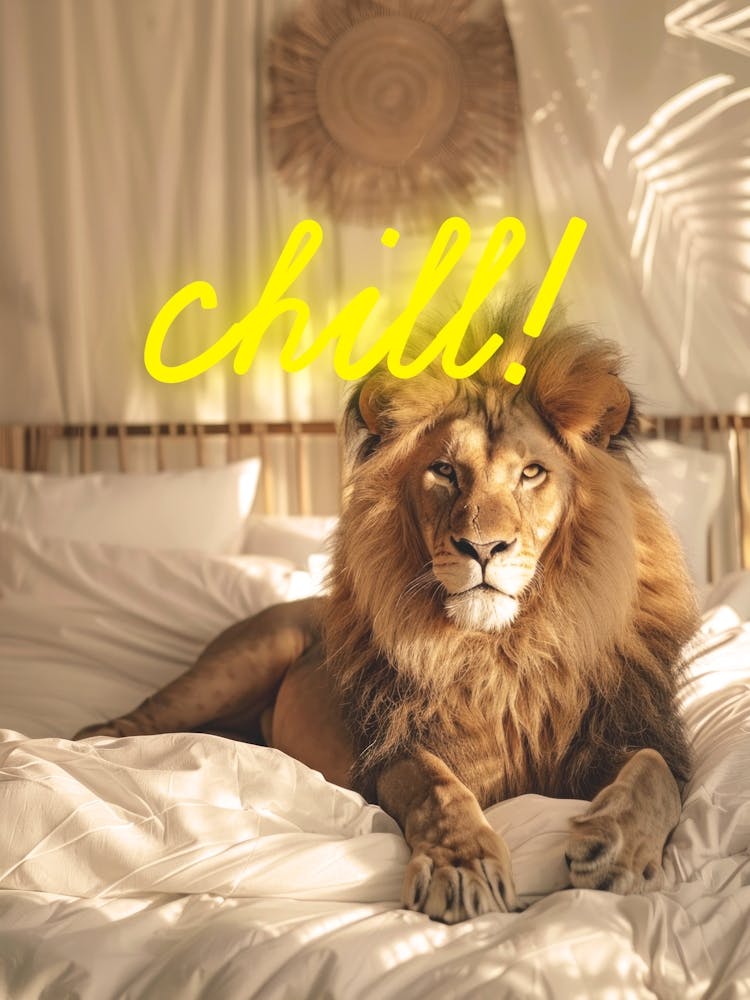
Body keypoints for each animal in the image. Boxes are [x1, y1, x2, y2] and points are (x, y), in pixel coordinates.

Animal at [75, 294, 698, 924]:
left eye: (531, 472)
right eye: (444, 471)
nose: (482, 548)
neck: (503, 651)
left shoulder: (621, 734)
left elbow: (656, 774)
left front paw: (617, 848)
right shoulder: (398, 747)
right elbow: (438, 789)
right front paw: (461, 866)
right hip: (250, 655)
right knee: (120, 726)